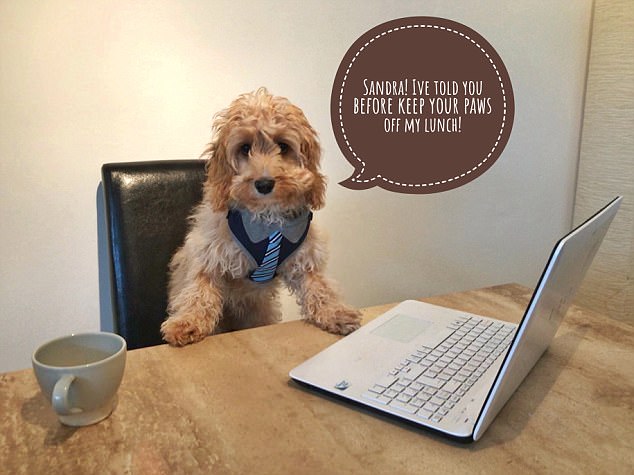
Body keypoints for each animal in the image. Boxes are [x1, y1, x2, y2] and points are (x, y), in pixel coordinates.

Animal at [161, 88, 361, 346]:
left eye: (283, 146)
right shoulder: (208, 252)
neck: (268, 220)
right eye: (245, 148)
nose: (264, 184)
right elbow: (200, 289)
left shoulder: (305, 258)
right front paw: (186, 322)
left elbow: (320, 286)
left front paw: (336, 312)